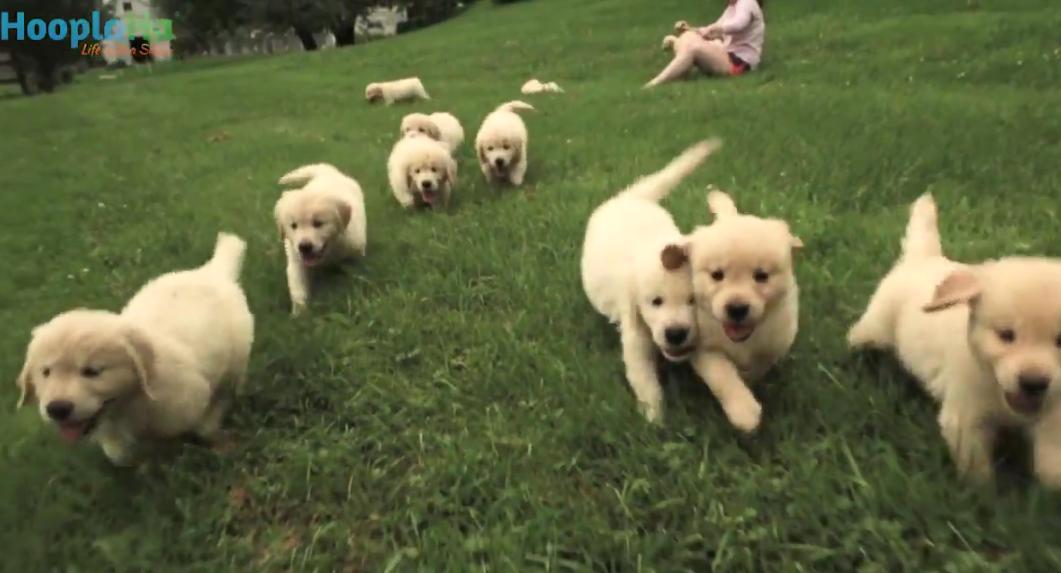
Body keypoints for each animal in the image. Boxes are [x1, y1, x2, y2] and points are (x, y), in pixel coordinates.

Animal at [14, 232, 254, 464]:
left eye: (92, 371)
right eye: (46, 372)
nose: (57, 409)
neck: (129, 404)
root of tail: (210, 272)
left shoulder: (196, 397)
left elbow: (206, 424)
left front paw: (220, 443)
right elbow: (121, 455)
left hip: (237, 355)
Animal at [271, 161, 367, 316]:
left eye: (318, 223)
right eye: (293, 225)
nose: (304, 247)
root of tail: (328, 173)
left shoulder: (355, 250)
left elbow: (354, 270)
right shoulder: (296, 260)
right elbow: (298, 288)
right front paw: (300, 314)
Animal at [581, 140, 721, 422]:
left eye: (694, 300)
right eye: (656, 301)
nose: (676, 334)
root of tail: (630, 197)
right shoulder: (635, 334)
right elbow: (644, 379)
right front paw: (655, 419)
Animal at [683, 185, 797, 432]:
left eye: (761, 276)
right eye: (717, 275)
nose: (736, 308)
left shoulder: (774, 343)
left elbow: (759, 365)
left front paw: (750, 382)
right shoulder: (702, 347)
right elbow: (722, 375)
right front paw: (744, 411)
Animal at [848, 196, 1061, 488]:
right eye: (1006, 335)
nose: (1034, 382)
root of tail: (924, 258)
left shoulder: (1054, 414)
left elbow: (1051, 461)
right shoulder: (965, 417)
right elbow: (977, 470)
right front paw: (982, 495)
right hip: (876, 324)